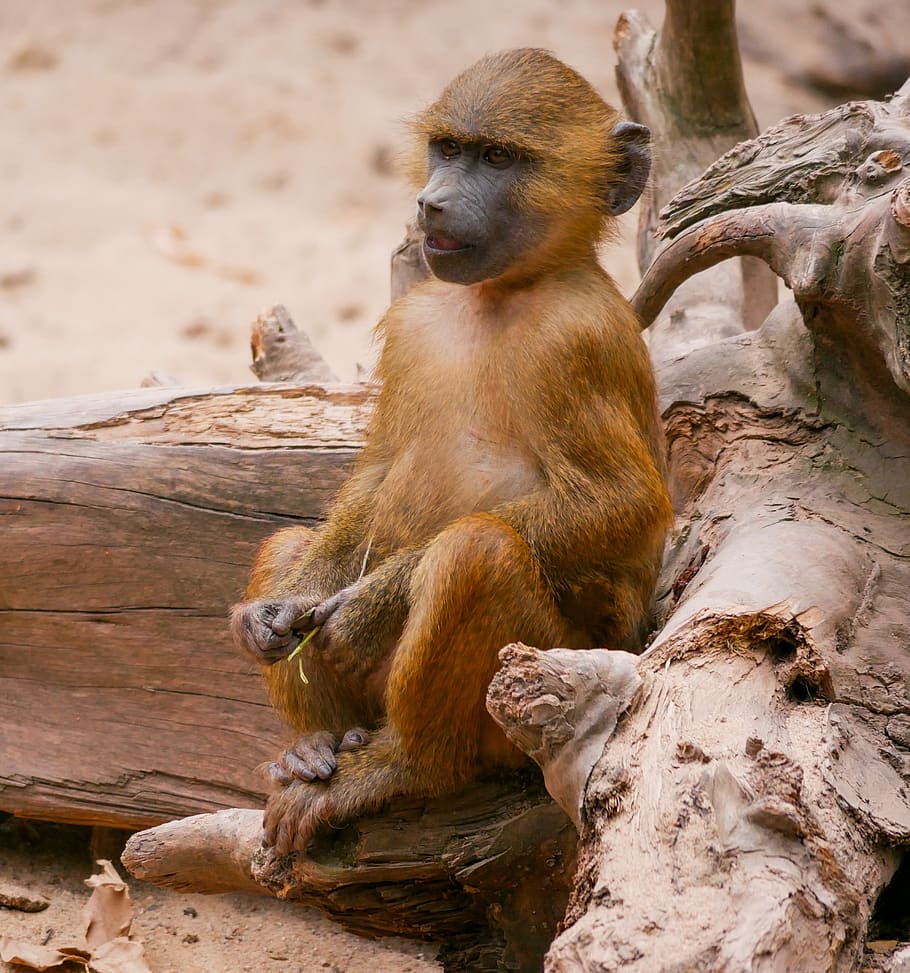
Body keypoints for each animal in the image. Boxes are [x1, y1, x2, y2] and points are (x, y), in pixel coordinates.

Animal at [231, 48, 673, 855]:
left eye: (498, 158)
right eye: (448, 149)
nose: (431, 203)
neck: (495, 294)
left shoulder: (578, 340)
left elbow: (622, 504)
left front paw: (371, 604)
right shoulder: (412, 320)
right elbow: (376, 475)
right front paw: (272, 615)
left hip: (529, 690)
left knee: (475, 552)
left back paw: (400, 765)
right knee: (290, 544)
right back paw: (314, 744)